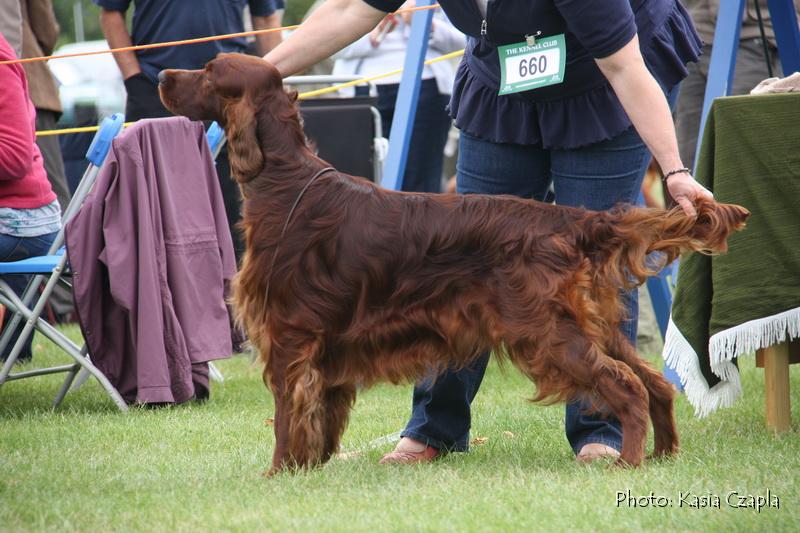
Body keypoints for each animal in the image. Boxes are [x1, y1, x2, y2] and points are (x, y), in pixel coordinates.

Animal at [161, 54, 752, 472]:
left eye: (209, 70)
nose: (164, 73)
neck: (285, 182)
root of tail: (572, 220)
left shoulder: (289, 334)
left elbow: (288, 417)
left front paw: (279, 472)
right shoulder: (325, 347)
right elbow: (319, 417)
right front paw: (312, 468)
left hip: (549, 334)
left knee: (627, 387)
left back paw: (627, 462)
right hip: (592, 326)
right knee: (654, 382)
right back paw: (663, 456)